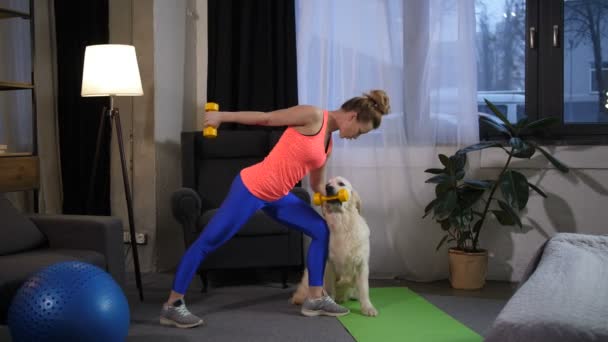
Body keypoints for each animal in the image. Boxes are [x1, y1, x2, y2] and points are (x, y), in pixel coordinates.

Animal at [290, 178, 376, 316]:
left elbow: (364, 289)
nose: (328, 188)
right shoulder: (330, 265)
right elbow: (331, 289)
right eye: (327, 184)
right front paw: (330, 304)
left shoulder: (361, 265)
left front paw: (367, 307)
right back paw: (298, 299)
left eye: (341, 184)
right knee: (303, 290)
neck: (342, 223)